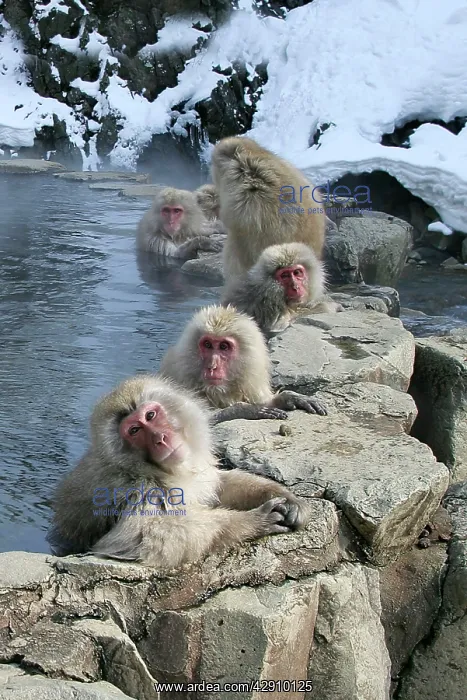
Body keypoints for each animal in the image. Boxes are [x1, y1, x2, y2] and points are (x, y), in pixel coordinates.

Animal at [46, 375, 310, 569]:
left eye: (151, 415)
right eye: (134, 430)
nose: (160, 438)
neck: (160, 470)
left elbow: (217, 486)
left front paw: (286, 497)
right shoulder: (138, 488)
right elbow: (148, 539)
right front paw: (255, 521)